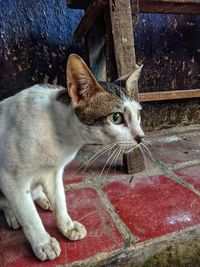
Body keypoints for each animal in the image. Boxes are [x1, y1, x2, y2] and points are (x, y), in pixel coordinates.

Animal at [0, 54, 145, 262]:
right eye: (116, 118)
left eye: (138, 115)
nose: (141, 137)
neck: (62, 137)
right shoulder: (10, 177)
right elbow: (28, 214)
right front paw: (43, 242)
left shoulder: (53, 172)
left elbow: (60, 199)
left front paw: (67, 226)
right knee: (7, 201)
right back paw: (13, 214)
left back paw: (43, 199)